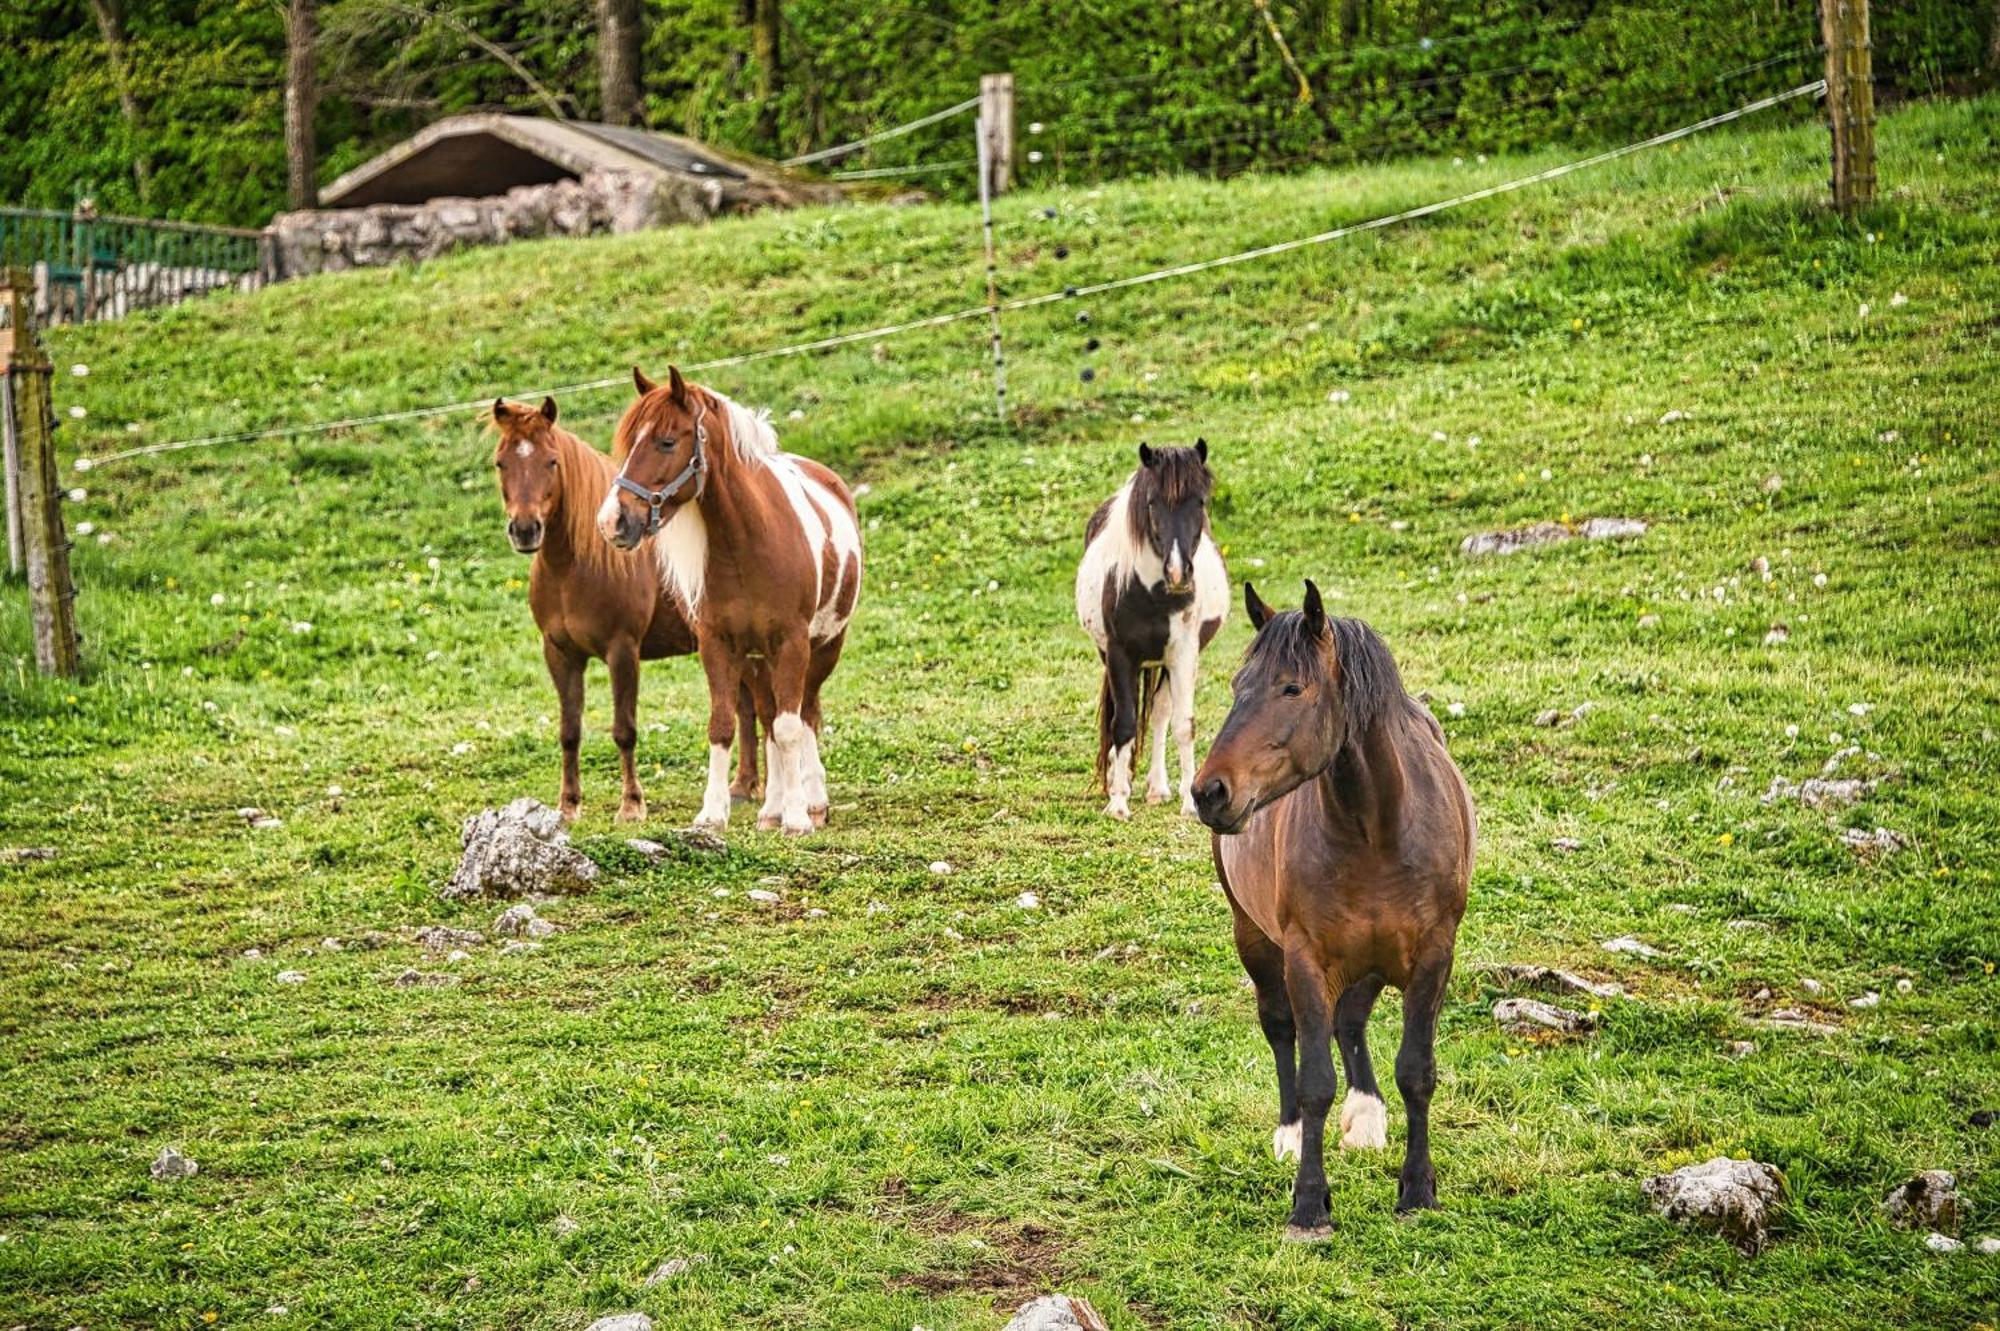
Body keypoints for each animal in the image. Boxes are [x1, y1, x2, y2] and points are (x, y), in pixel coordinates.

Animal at [488, 399, 760, 819]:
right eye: (501, 462)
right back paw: (743, 787)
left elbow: (624, 729)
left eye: (552, 462)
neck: (574, 568)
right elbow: (569, 731)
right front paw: (568, 805)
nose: (525, 529)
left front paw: (632, 804)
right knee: (747, 707)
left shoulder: (622, 651)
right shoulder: (559, 653)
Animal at [584, 363, 852, 835]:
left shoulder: (792, 644)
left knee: (805, 715)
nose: (612, 521)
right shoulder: (718, 645)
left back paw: (813, 802)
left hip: (823, 648)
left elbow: (791, 727)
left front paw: (798, 817)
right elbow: (724, 724)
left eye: (666, 441)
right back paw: (771, 809)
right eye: (629, 443)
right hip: (758, 661)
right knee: (769, 717)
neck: (748, 542)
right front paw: (712, 813)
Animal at [1080, 443, 1232, 819]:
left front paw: (1191, 802)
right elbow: (1123, 724)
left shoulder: (1183, 653)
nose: (1178, 573)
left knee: (1161, 712)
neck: (1153, 594)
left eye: (1200, 502)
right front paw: (1118, 800)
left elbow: (1183, 725)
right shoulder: (1119, 655)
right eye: (1151, 503)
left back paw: (1159, 787)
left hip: (1165, 662)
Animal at [1192, 579, 1480, 1231]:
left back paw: (1368, 1118)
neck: (1377, 830)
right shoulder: (1306, 959)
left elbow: (1416, 1071)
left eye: (1292, 688)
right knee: (1282, 1030)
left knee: (1351, 1021)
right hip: (1255, 938)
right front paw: (1308, 1205)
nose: (1208, 791)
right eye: (1237, 687)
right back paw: (1291, 1133)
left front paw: (1417, 1191)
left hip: (1372, 958)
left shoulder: (1434, 955)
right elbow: (1313, 1079)